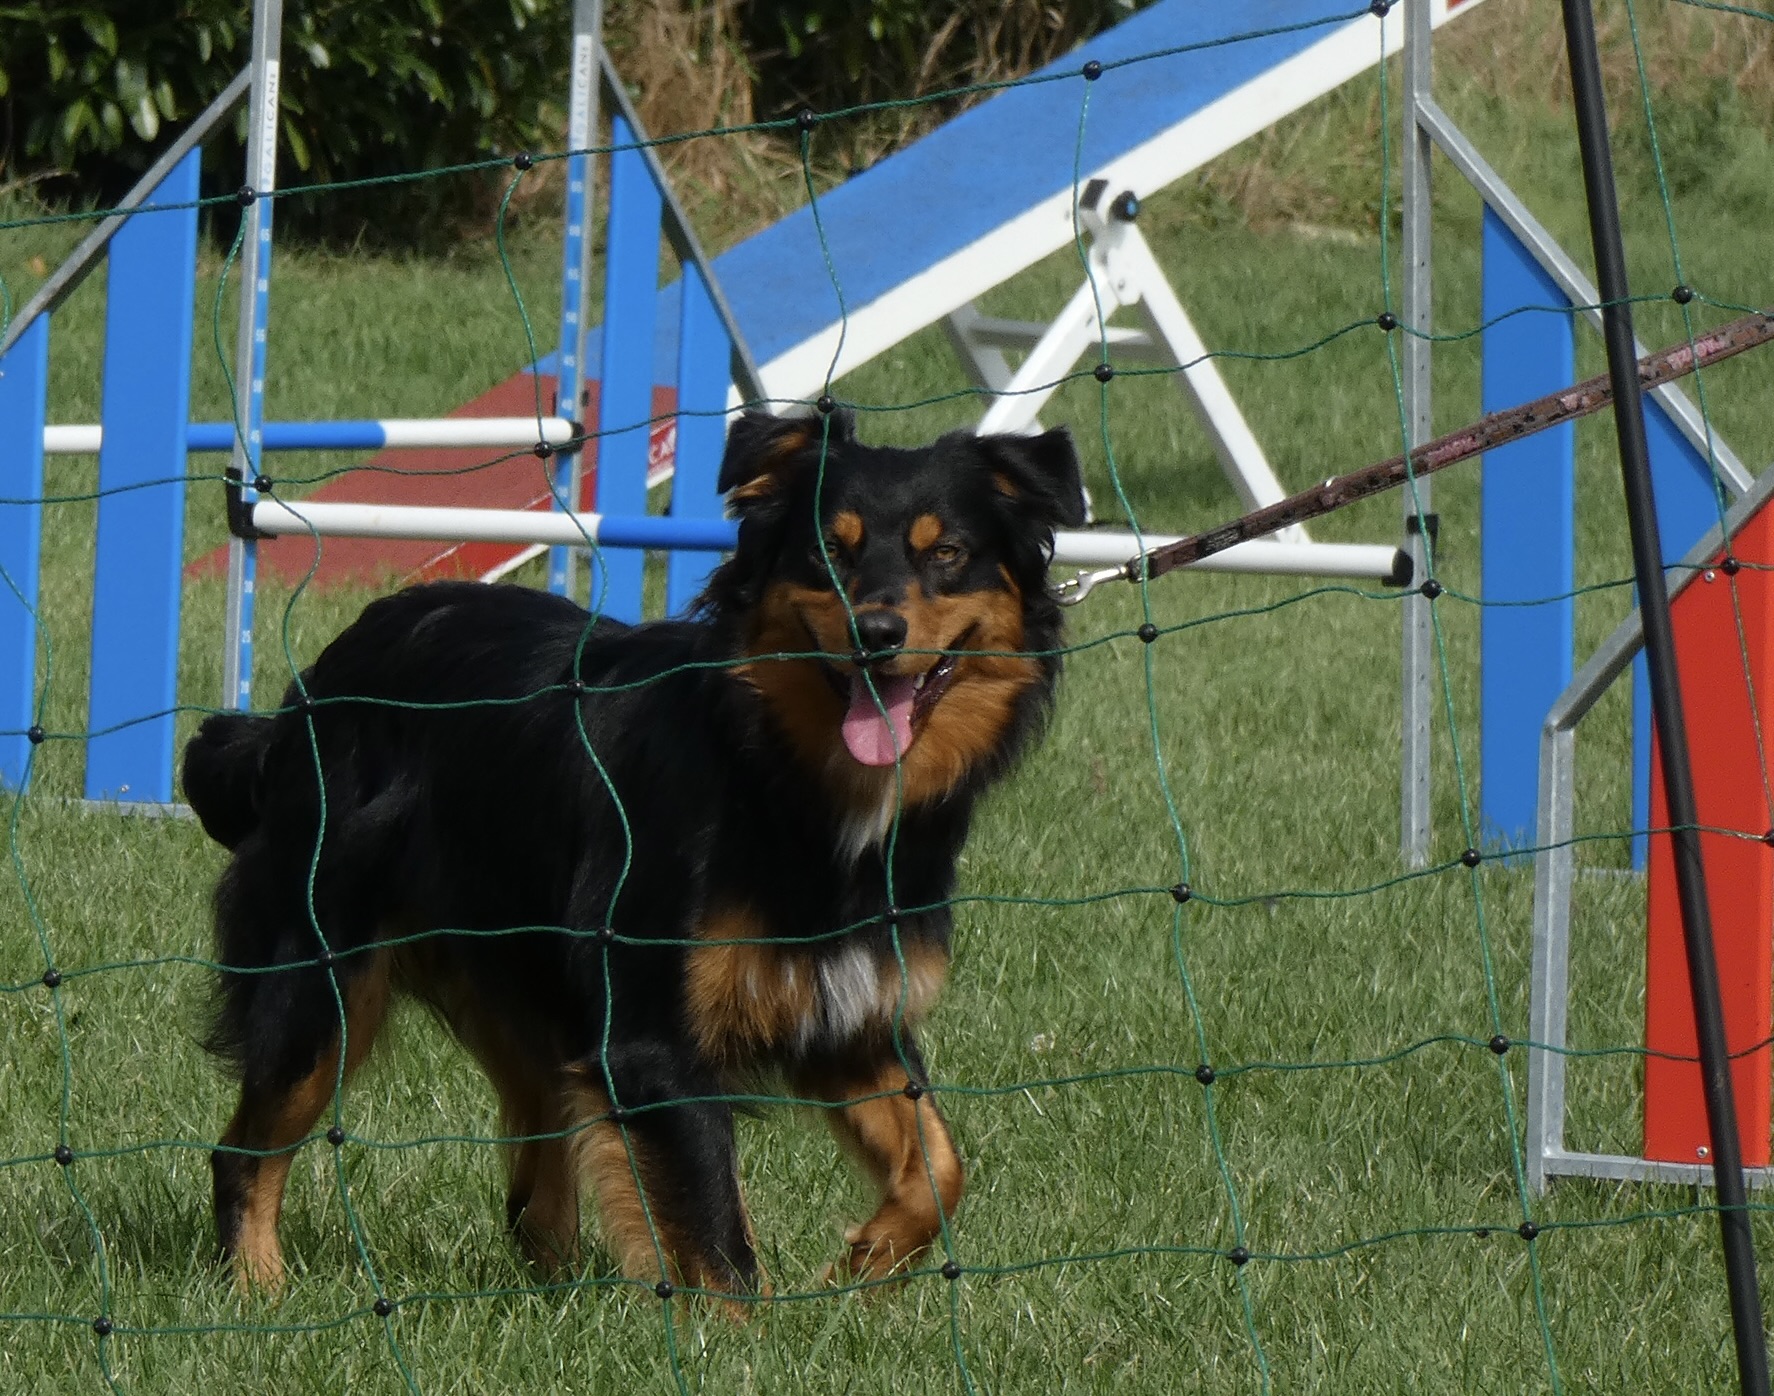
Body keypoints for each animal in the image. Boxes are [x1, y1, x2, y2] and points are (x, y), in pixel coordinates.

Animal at [187, 411, 1085, 1298]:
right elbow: (718, 1234)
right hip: (321, 971)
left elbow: (940, 1164)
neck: (776, 765)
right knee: (244, 1151)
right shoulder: (654, 1037)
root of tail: (321, 675)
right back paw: (259, 1288)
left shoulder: (849, 1013)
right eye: (830, 551)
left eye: (948, 554)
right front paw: (746, 1326)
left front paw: (865, 1259)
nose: (877, 634)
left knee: (537, 1174)